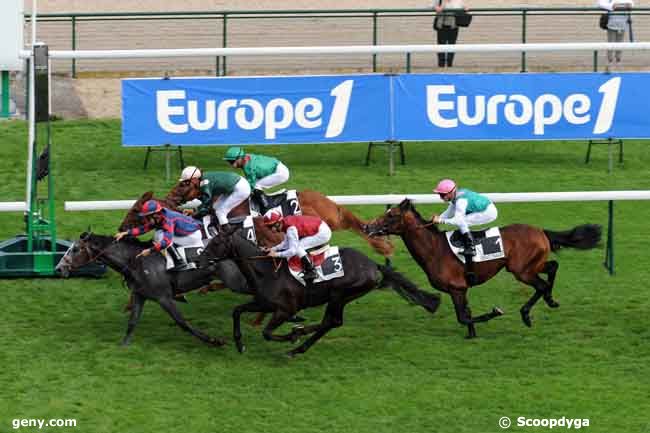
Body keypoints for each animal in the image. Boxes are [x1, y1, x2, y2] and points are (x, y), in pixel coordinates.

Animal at [56, 231, 235, 346]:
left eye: (75, 249)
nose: (58, 268)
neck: (135, 261)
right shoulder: (139, 295)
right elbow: (132, 322)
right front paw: (123, 346)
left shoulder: (164, 297)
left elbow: (182, 322)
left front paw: (214, 340)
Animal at [201, 228, 440, 356]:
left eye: (216, 242)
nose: (199, 259)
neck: (266, 272)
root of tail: (373, 264)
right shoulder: (265, 303)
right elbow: (237, 310)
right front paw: (239, 343)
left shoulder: (286, 309)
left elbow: (267, 333)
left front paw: (290, 337)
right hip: (341, 297)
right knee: (330, 322)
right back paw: (299, 337)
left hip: (340, 294)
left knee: (332, 322)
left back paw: (296, 343)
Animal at [362, 198, 600, 338]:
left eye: (391, 215)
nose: (368, 226)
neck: (434, 250)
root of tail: (540, 231)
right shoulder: (460, 289)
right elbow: (465, 314)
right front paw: (472, 334)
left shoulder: (457, 288)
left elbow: (463, 316)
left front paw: (493, 313)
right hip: (532, 265)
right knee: (552, 267)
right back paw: (551, 300)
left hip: (521, 271)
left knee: (540, 285)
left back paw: (526, 314)